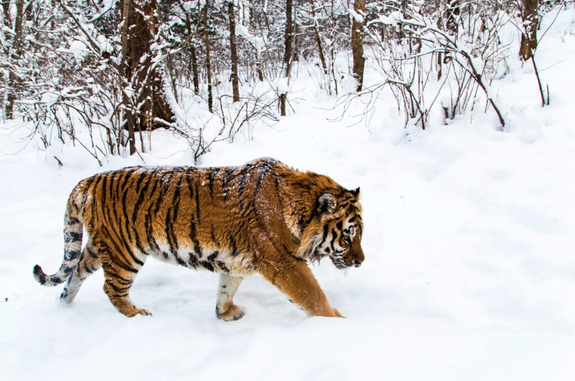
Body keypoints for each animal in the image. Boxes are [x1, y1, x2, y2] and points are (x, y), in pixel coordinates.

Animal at [32, 156, 364, 320]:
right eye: (348, 236)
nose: (361, 262)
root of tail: (88, 181)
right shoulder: (284, 262)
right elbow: (314, 296)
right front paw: (337, 324)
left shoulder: (237, 261)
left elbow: (226, 289)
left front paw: (225, 313)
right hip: (123, 253)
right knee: (111, 288)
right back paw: (136, 314)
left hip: (96, 247)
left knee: (73, 275)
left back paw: (64, 307)